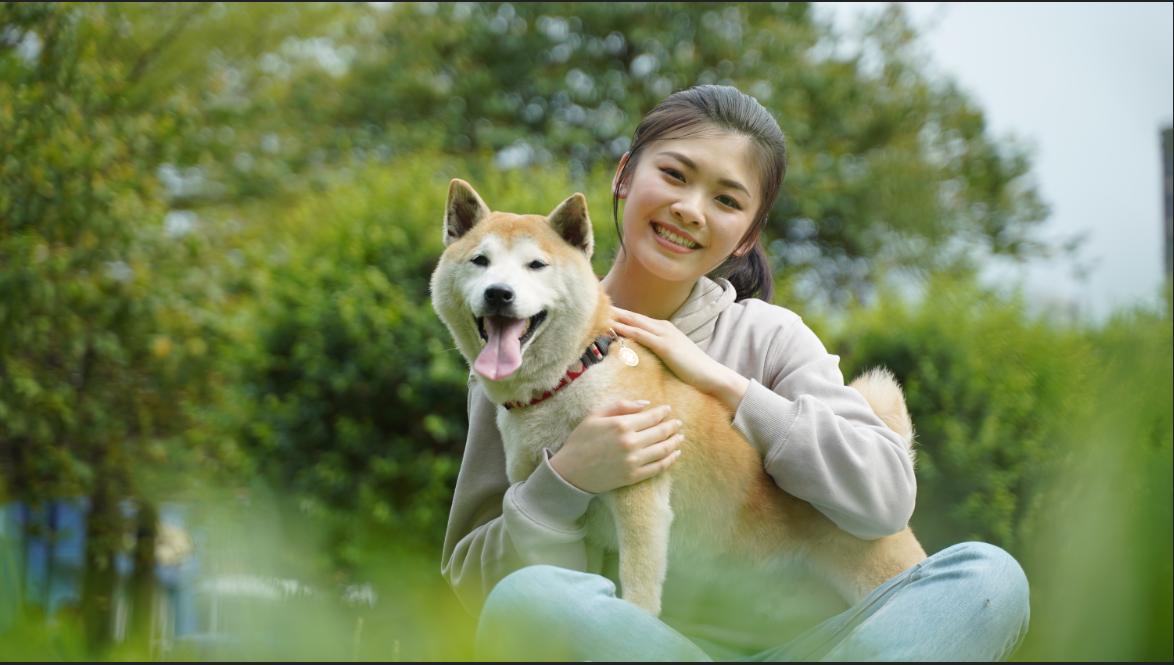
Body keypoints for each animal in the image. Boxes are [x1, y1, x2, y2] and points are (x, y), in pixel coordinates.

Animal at [432, 179, 925, 615]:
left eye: (536, 265)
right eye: (480, 261)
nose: (499, 293)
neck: (572, 376)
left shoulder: (642, 502)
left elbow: (640, 587)